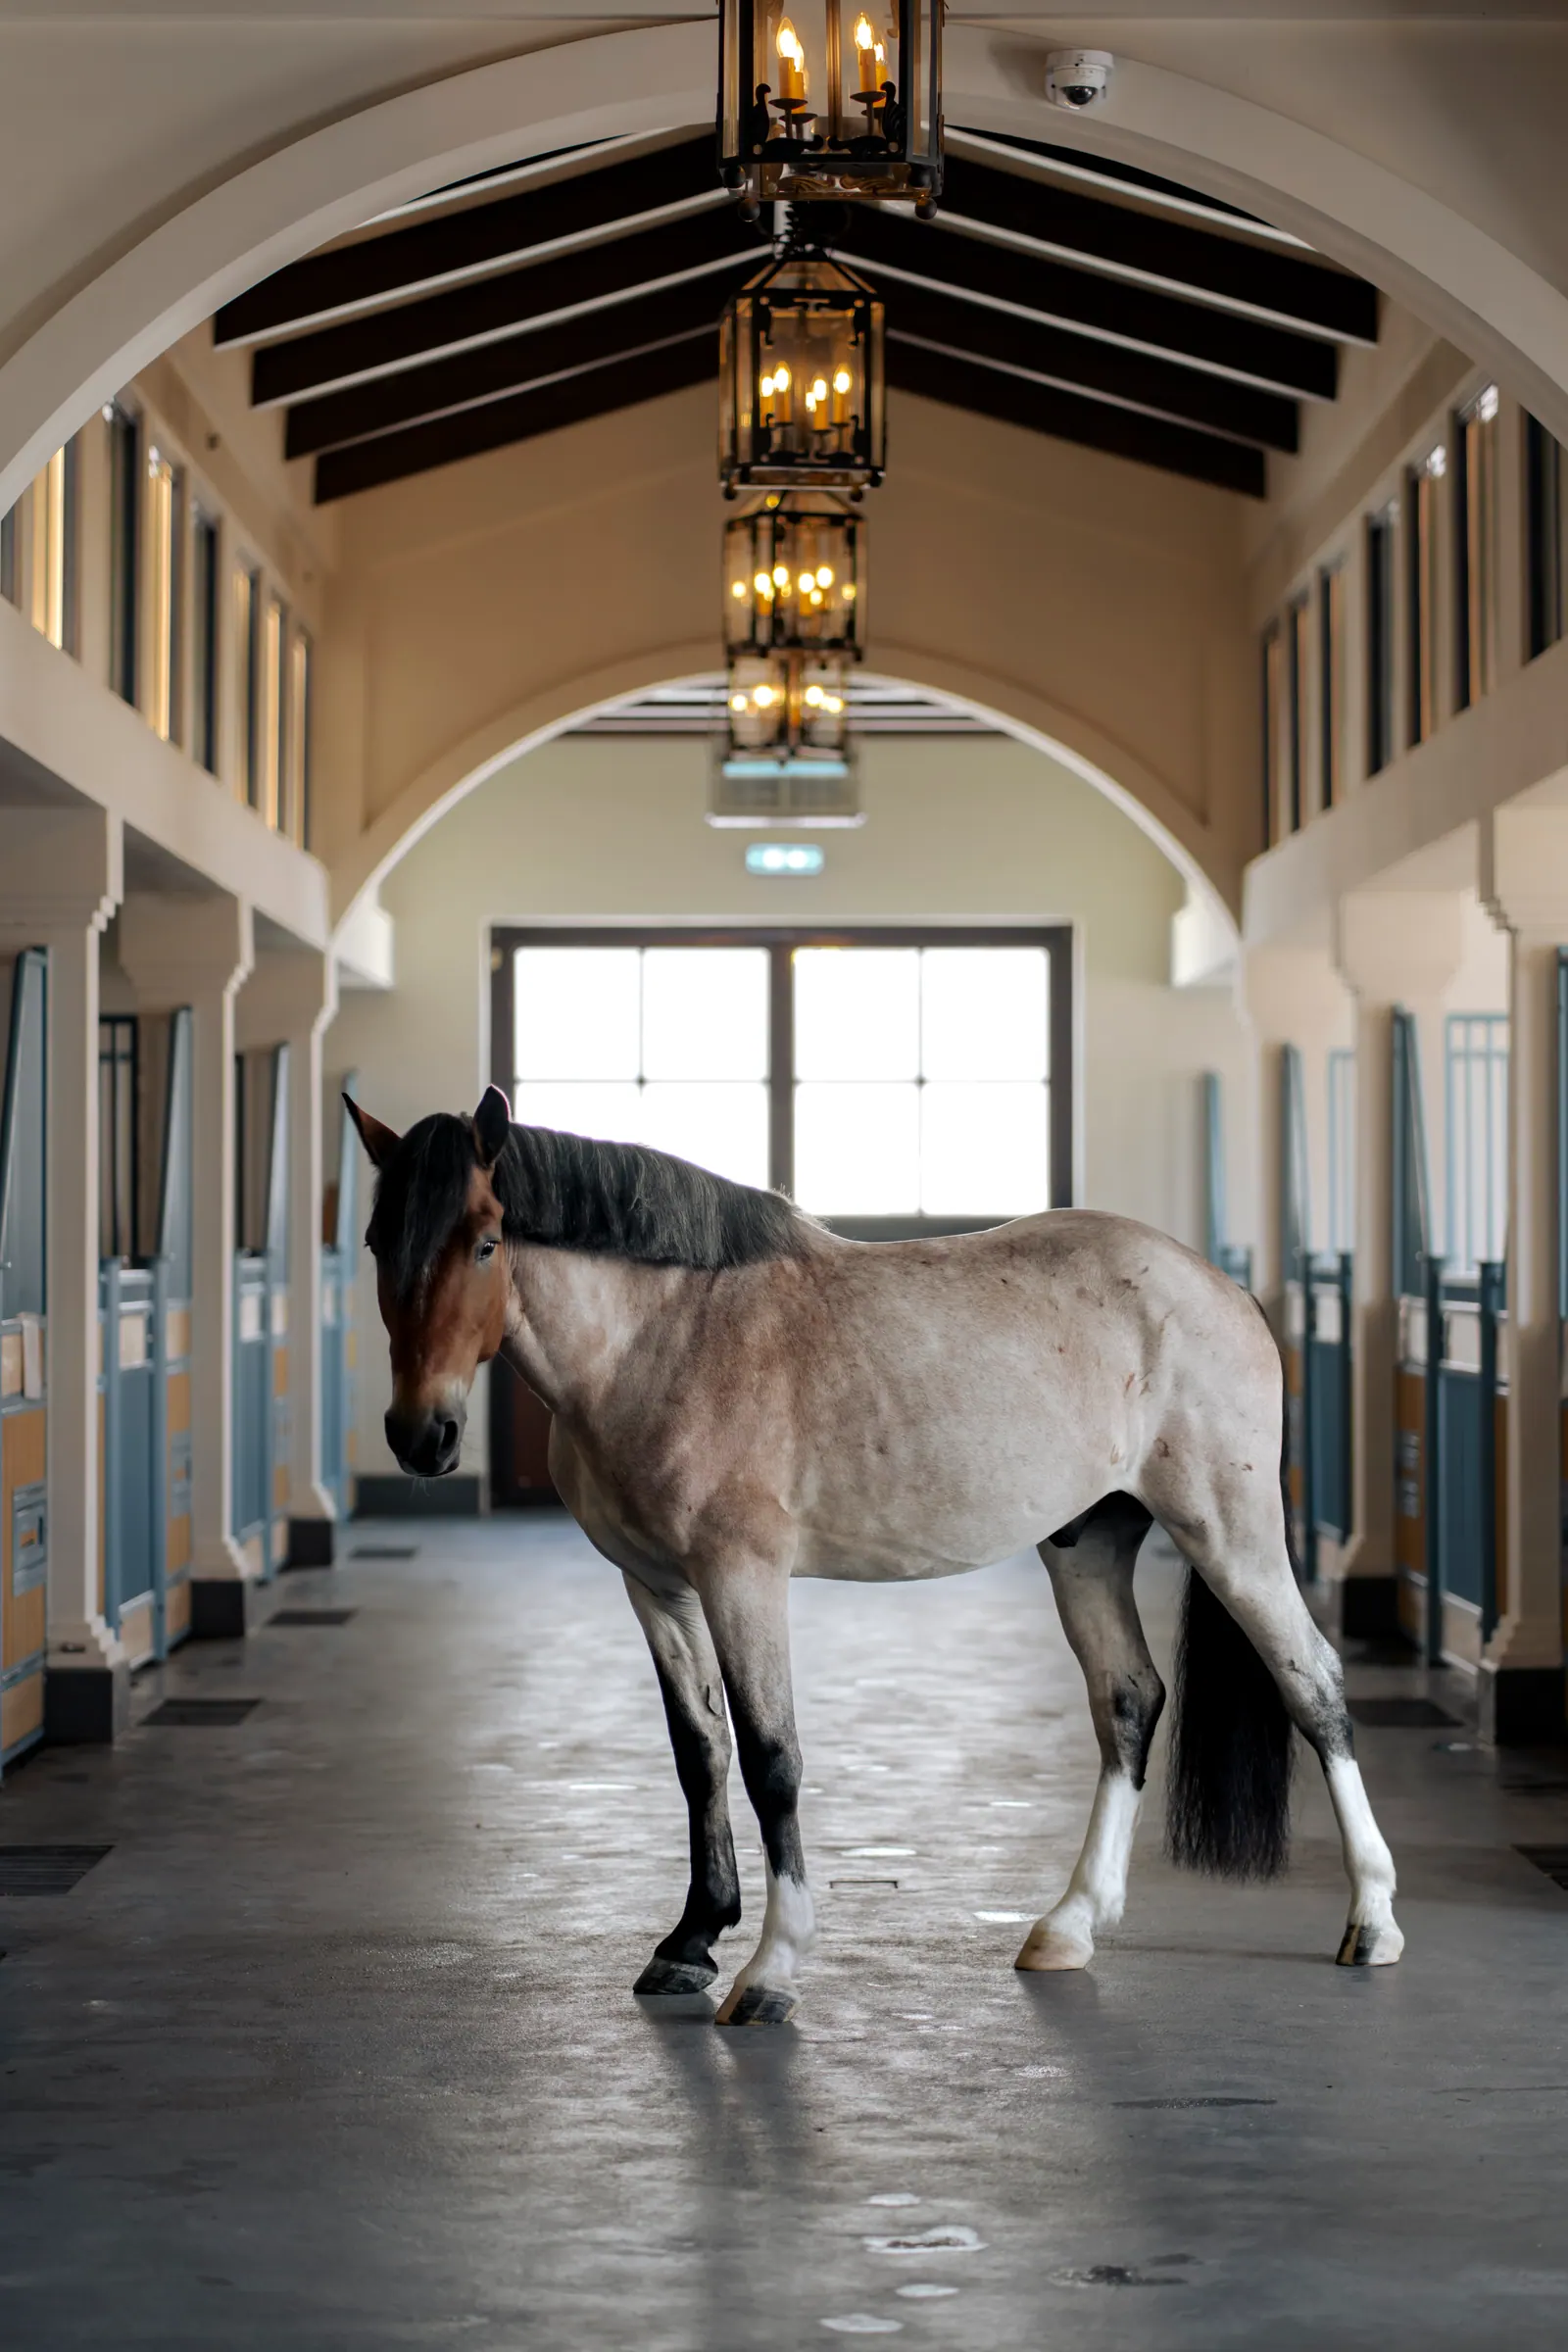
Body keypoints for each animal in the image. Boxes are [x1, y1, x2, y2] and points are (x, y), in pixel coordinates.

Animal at [347, 1085, 1402, 2026]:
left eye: (486, 1241)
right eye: (375, 1242)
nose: (422, 1436)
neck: (665, 1338)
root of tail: (1218, 1286)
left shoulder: (741, 1579)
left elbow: (771, 1757)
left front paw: (770, 1970)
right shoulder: (653, 1587)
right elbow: (699, 1752)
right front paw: (690, 1942)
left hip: (1229, 1531)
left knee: (1312, 1684)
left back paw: (1373, 1920)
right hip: (1087, 1540)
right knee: (1130, 1701)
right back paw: (1070, 1924)